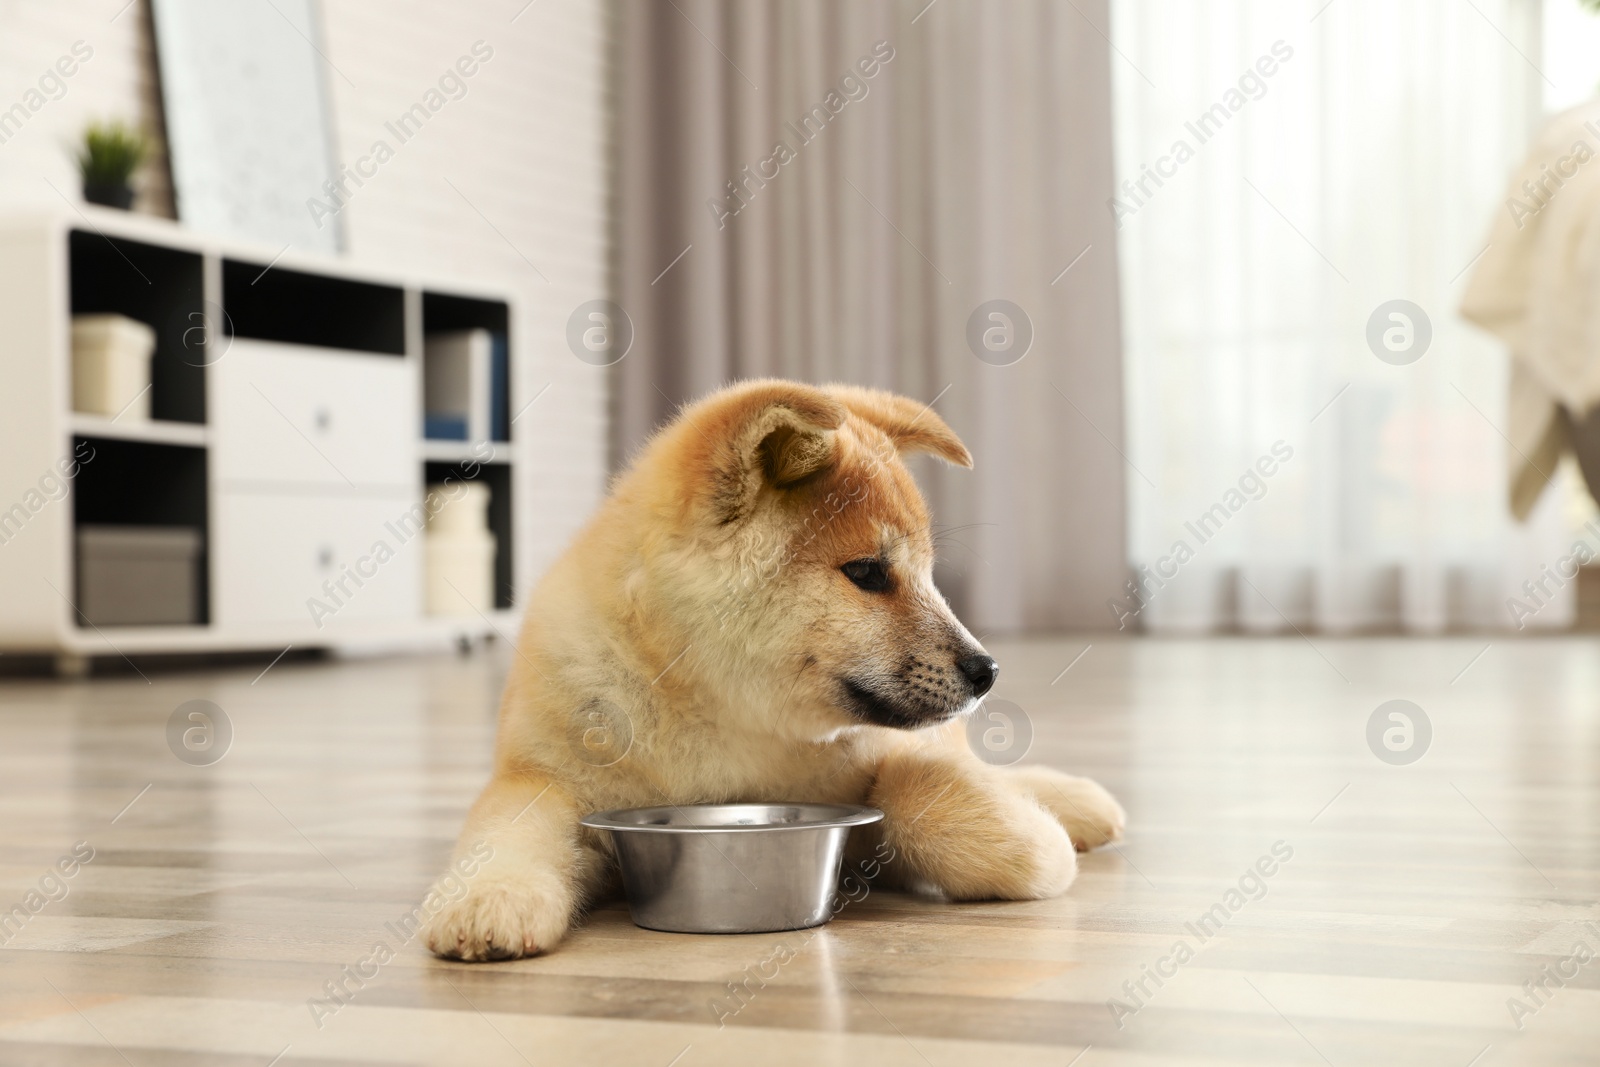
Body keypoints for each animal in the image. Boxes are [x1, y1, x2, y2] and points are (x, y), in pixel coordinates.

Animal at [425, 377, 1126, 959]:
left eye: (929, 574)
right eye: (867, 573)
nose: (988, 670)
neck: (727, 720)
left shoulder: (897, 760)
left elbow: (917, 788)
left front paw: (1038, 840)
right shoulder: (539, 777)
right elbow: (507, 835)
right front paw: (489, 897)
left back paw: (1074, 802)